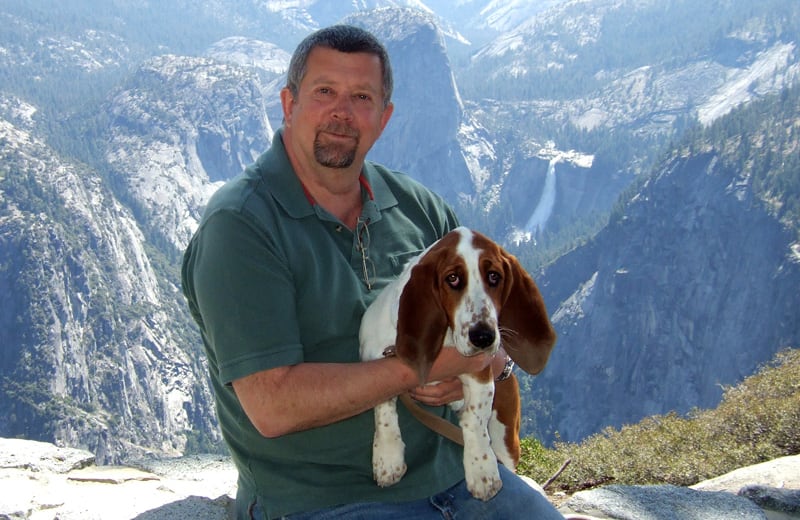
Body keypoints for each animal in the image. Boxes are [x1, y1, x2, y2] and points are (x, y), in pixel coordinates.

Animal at [360, 226, 556, 500]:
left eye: (494, 276)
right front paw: (388, 457)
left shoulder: (479, 374)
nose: (483, 337)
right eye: (452, 278)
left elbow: (474, 420)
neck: (446, 340)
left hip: (507, 434)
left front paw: (482, 471)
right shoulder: (375, 358)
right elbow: (384, 407)